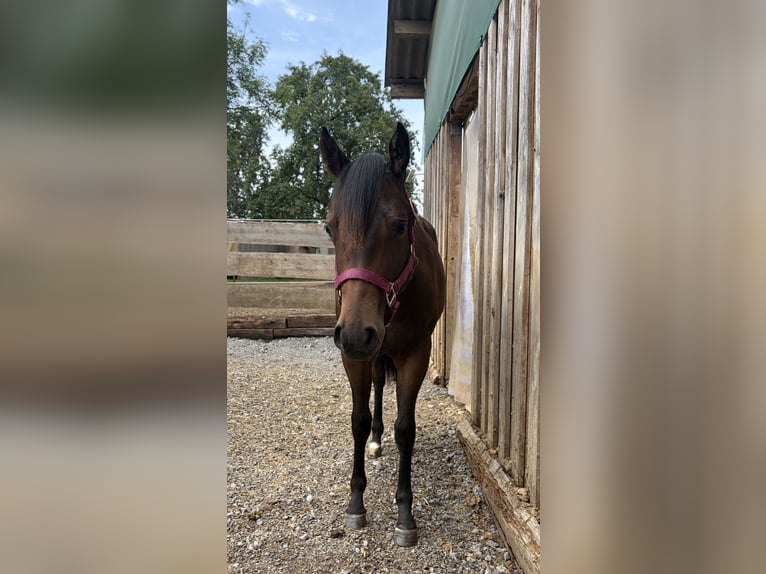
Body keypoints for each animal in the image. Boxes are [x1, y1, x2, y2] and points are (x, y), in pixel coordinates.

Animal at [320, 122, 446, 547]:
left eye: (400, 225)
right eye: (330, 227)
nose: (357, 333)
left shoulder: (416, 354)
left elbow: (405, 428)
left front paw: (405, 514)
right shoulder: (352, 356)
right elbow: (358, 420)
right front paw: (356, 503)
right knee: (376, 387)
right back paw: (376, 439)